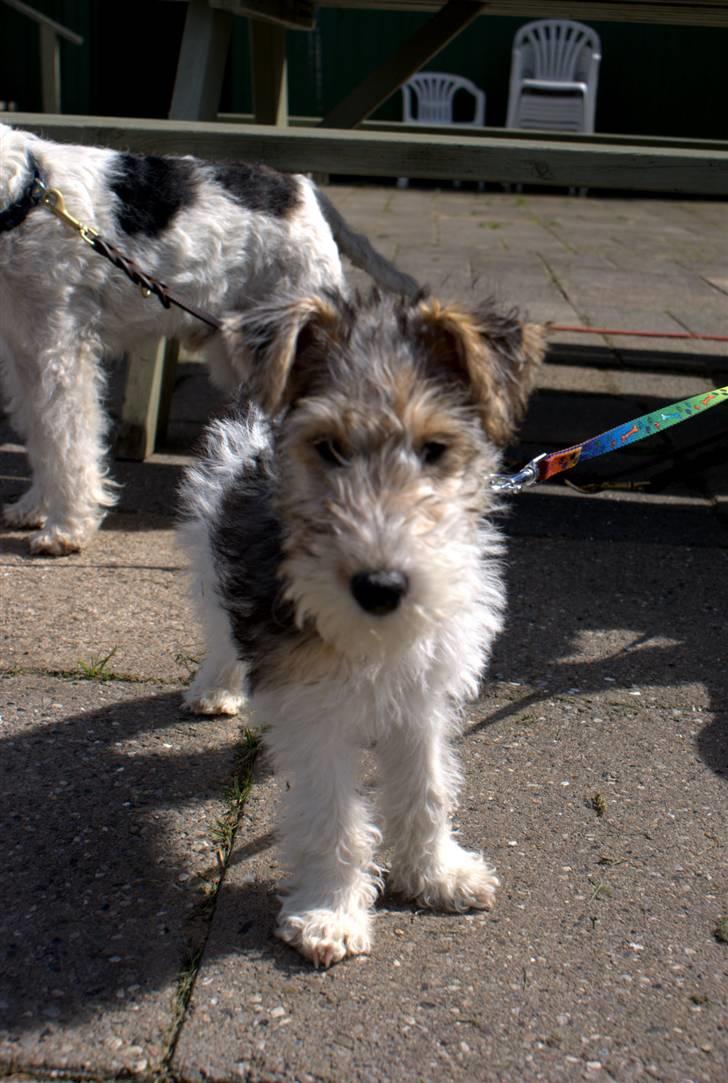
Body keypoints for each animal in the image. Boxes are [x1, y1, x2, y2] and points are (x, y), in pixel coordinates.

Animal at [0, 122, 418, 554]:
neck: (24, 195)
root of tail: (303, 189)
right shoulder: (26, 349)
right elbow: (41, 435)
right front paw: (33, 508)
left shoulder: (60, 351)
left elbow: (66, 440)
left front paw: (66, 528)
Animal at [177, 285, 546, 966]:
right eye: (328, 447)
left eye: (434, 449)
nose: (381, 586)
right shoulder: (312, 713)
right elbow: (334, 820)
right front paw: (331, 914)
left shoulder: (422, 698)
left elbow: (427, 793)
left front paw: (436, 876)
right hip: (207, 554)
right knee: (219, 633)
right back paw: (215, 689)